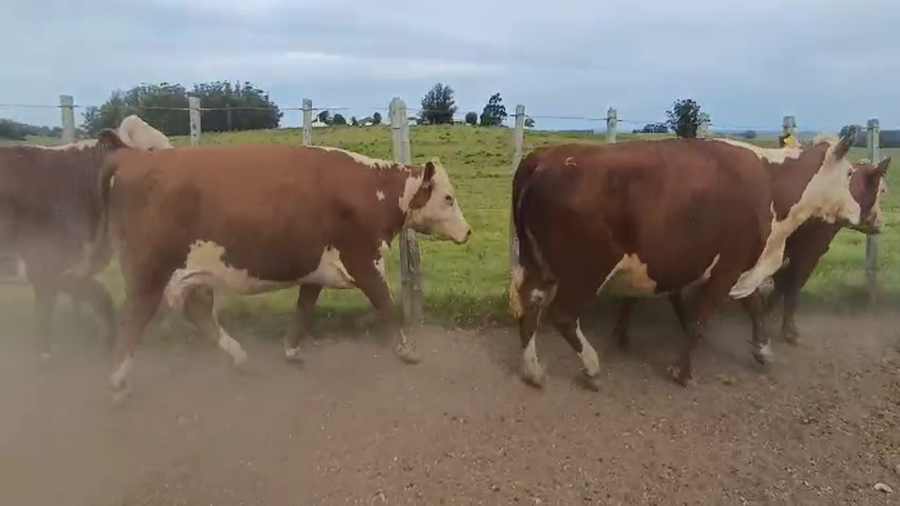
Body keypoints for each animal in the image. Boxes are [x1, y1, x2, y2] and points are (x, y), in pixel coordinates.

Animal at [73, 142, 472, 399]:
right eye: (448, 198)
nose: (467, 232)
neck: (371, 191)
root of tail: (130, 159)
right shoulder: (364, 260)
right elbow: (386, 305)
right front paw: (407, 349)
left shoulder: (316, 267)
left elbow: (304, 308)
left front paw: (291, 351)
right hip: (148, 270)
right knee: (134, 317)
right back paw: (119, 380)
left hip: (189, 274)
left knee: (197, 312)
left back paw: (240, 359)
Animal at [509, 129, 862, 390]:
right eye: (849, 172)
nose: (859, 212)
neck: (772, 184)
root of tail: (545, 157)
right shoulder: (728, 267)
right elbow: (699, 323)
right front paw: (682, 371)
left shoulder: (739, 265)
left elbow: (754, 308)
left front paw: (762, 350)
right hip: (587, 267)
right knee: (563, 315)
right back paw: (591, 368)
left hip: (536, 262)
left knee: (530, 304)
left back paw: (532, 370)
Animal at [611, 155, 890, 353]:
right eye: (881, 190)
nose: (880, 222)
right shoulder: (808, 253)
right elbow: (792, 289)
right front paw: (789, 332)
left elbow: (777, 287)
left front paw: (766, 319)